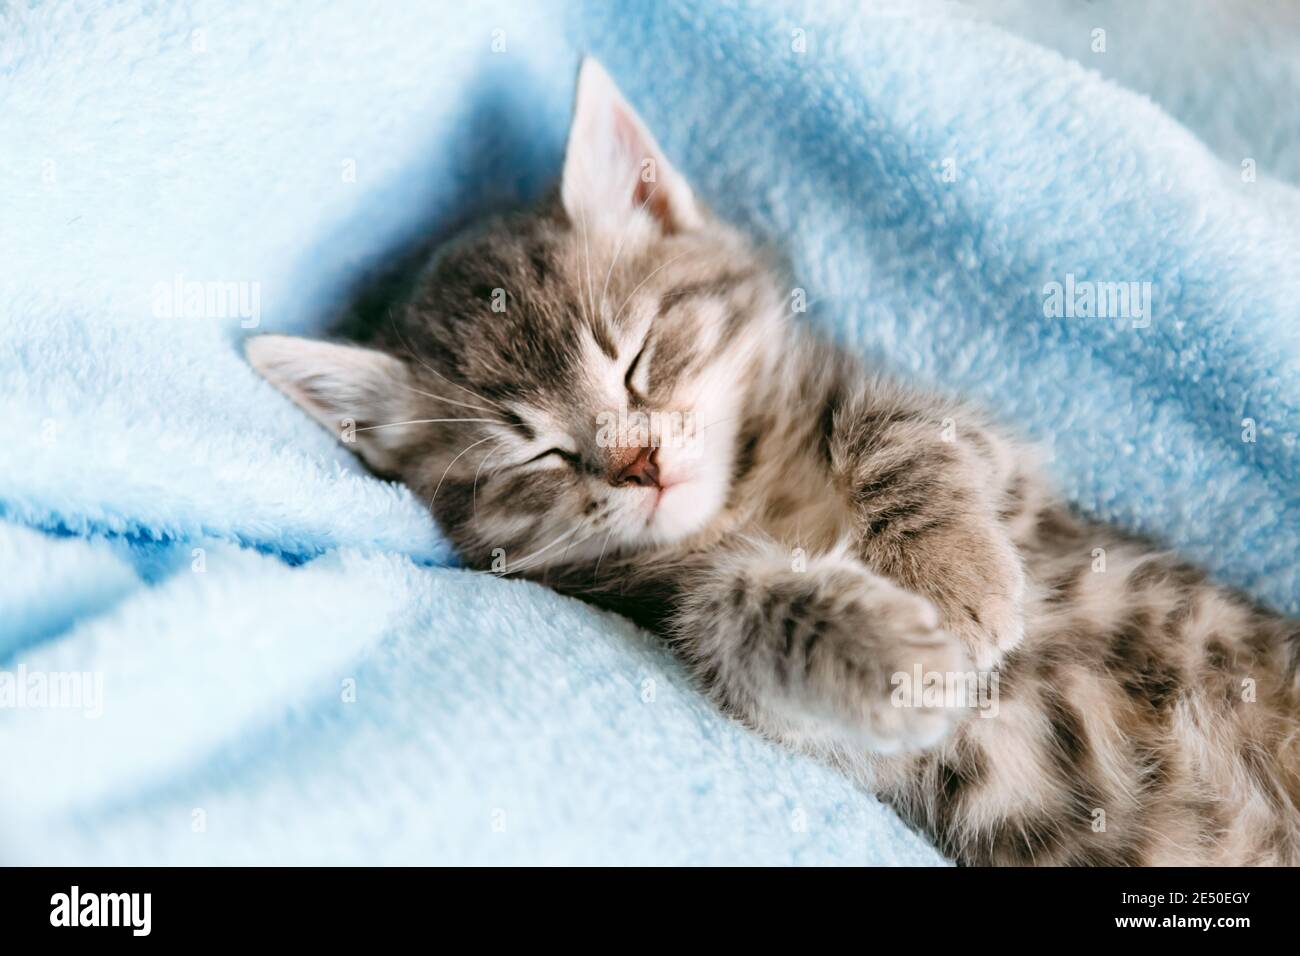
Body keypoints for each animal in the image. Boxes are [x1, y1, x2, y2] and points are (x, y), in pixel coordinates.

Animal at [248, 59, 1300, 868]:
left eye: (636, 357)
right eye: (536, 451)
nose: (637, 466)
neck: (752, 496)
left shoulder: (1017, 480)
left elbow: (896, 424)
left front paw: (952, 574)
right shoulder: (758, 681)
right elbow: (745, 613)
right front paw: (898, 655)